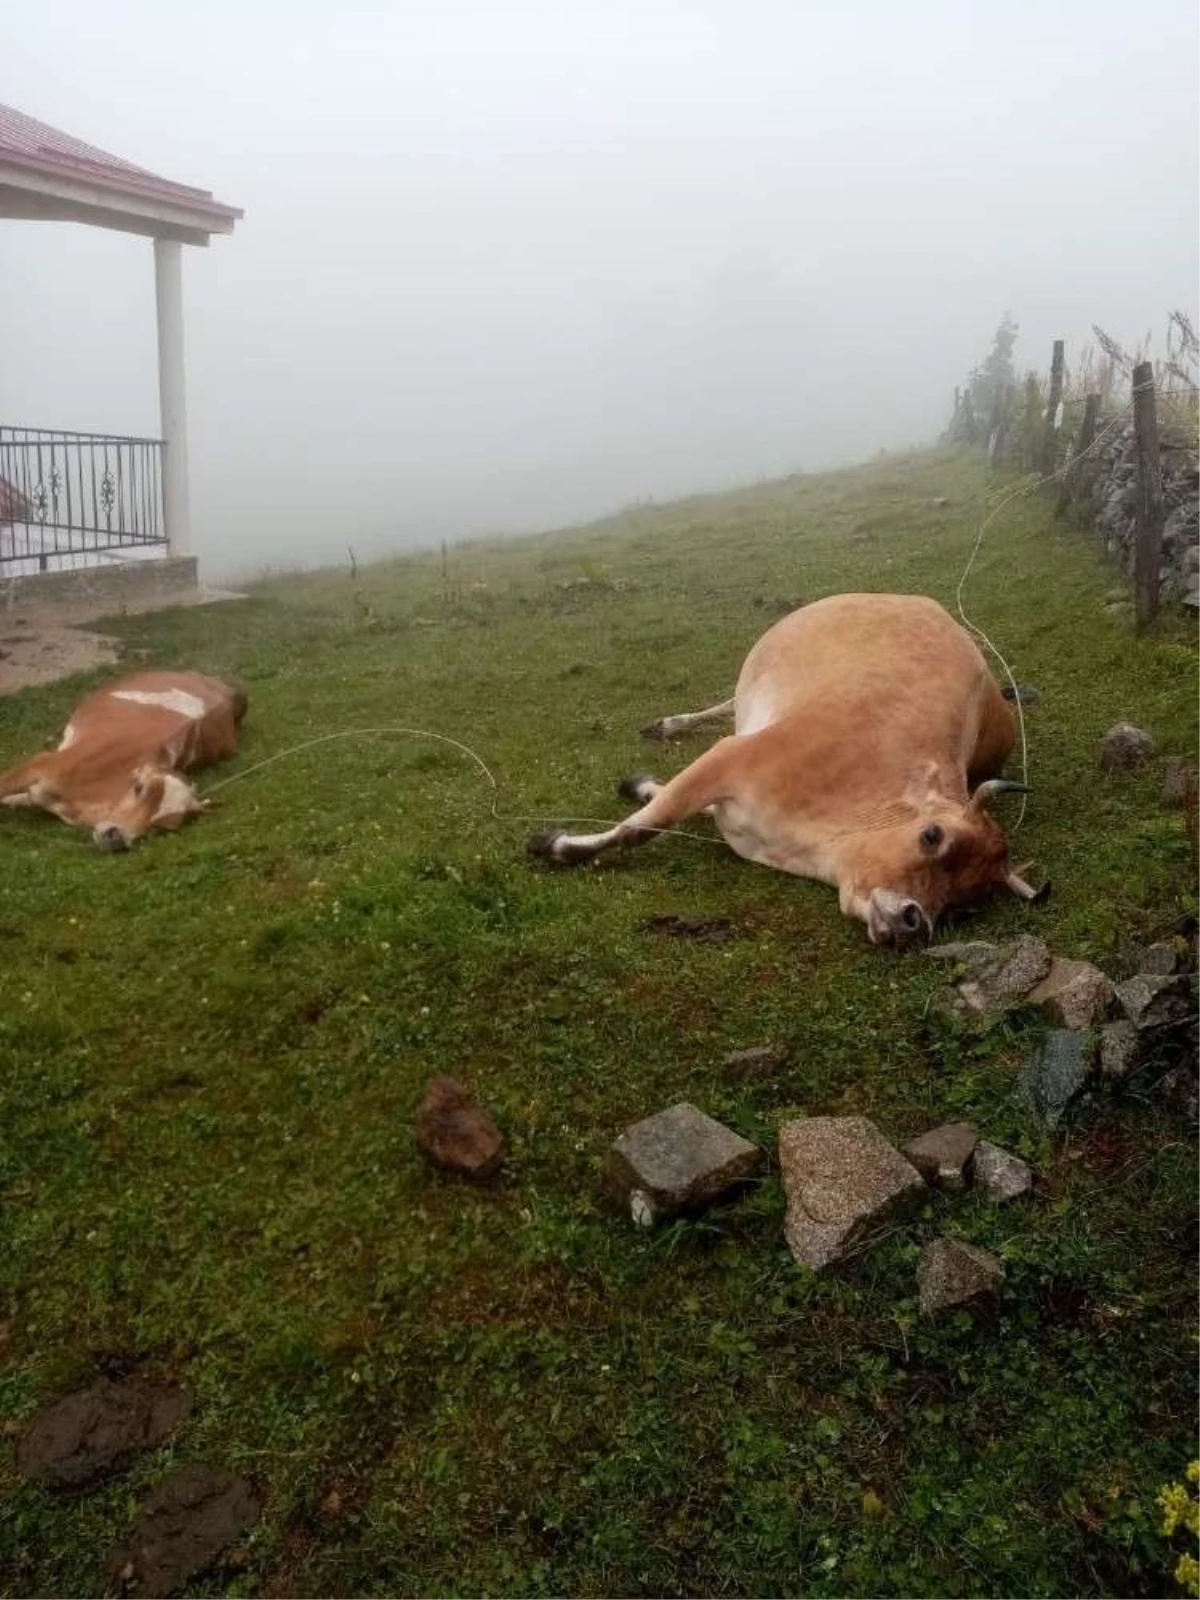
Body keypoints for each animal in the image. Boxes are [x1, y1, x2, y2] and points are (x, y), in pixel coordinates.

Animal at [528, 601, 1043, 947]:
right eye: (932, 836)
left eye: (964, 906)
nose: (915, 921)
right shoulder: (730, 757)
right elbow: (641, 828)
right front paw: (557, 845)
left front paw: (639, 787)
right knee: (724, 704)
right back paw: (669, 724)